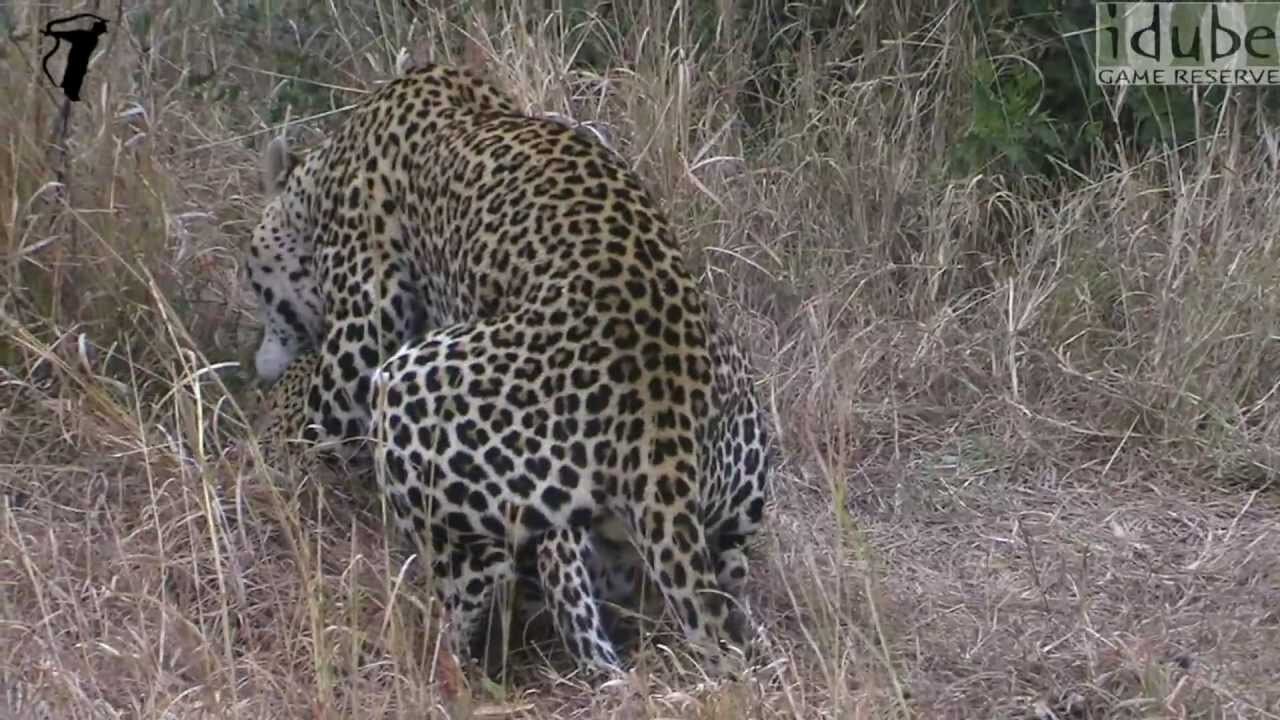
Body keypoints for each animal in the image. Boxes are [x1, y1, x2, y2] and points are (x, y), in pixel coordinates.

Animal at [244, 60, 773, 671]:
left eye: (256, 286)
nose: (259, 365)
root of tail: (661, 427)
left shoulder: (359, 332)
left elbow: (312, 406)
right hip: (733, 479)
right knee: (711, 580)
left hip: (402, 385)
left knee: (474, 589)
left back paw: (431, 650)